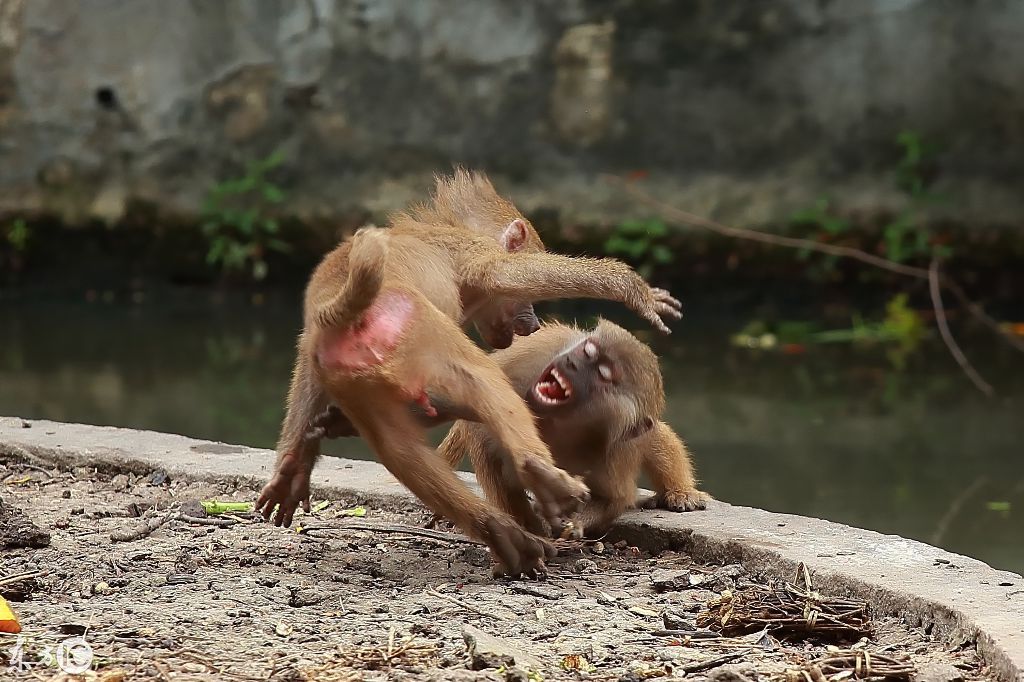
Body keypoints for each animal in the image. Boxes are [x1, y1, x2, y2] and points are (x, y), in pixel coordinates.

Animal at [436, 319, 708, 536]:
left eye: (603, 373)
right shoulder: (534, 355)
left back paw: (680, 492)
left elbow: (611, 499)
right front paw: (528, 525)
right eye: (587, 352)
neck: (560, 420)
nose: (571, 362)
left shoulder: (617, 446)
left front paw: (572, 523)